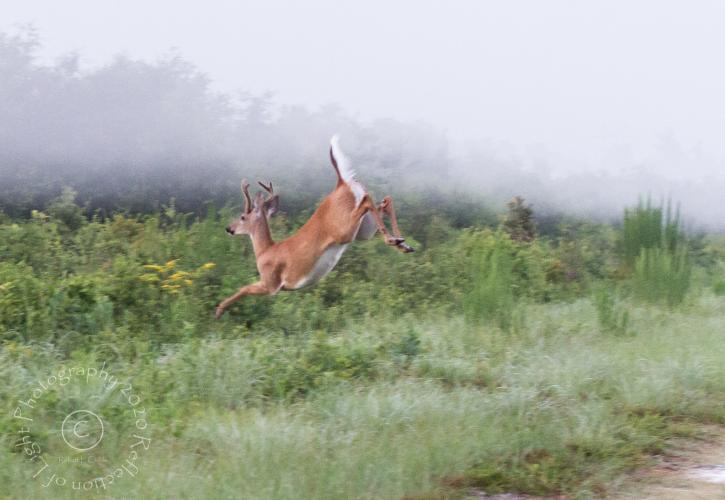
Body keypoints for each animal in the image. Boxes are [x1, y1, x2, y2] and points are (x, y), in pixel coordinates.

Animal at [215, 135, 412, 318]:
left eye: (242, 217)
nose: (228, 229)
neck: (265, 251)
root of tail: (341, 183)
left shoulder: (271, 283)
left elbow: (243, 288)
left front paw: (219, 310)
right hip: (364, 230)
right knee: (385, 201)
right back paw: (403, 243)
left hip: (344, 230)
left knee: (367, 200)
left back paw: (395, 240)